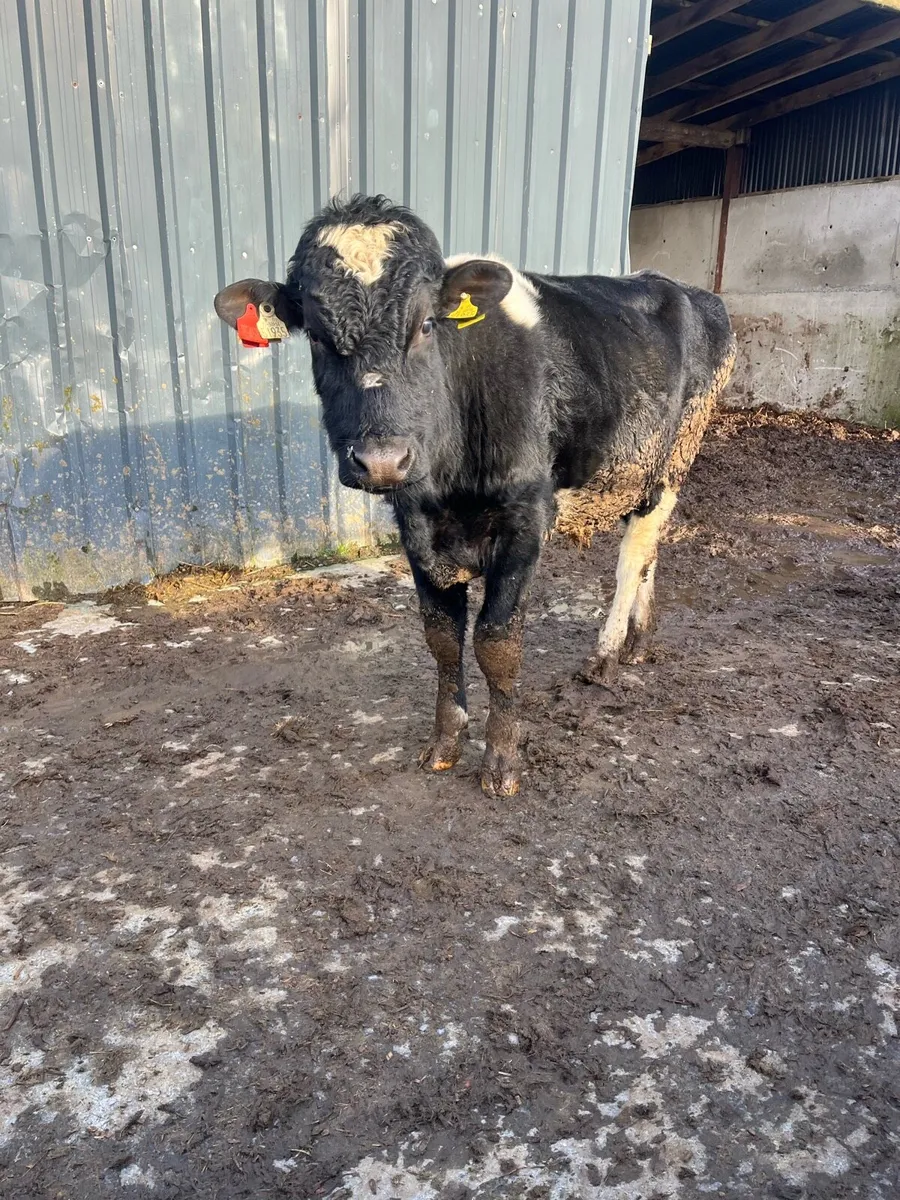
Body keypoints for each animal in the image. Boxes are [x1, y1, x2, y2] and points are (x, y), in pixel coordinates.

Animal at [214, 194, 735, 797]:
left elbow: (496, 641)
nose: (382, 459)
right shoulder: (416, 524)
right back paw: (637, 642)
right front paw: (445, 743)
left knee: (633, 558)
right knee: (649, 551)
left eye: (425, 325)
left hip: (677, 458)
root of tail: (679, 286)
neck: (451, 475)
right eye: (318, 337)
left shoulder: (526, 518)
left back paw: (605, 657)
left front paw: (502, 760)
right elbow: (442, 638)